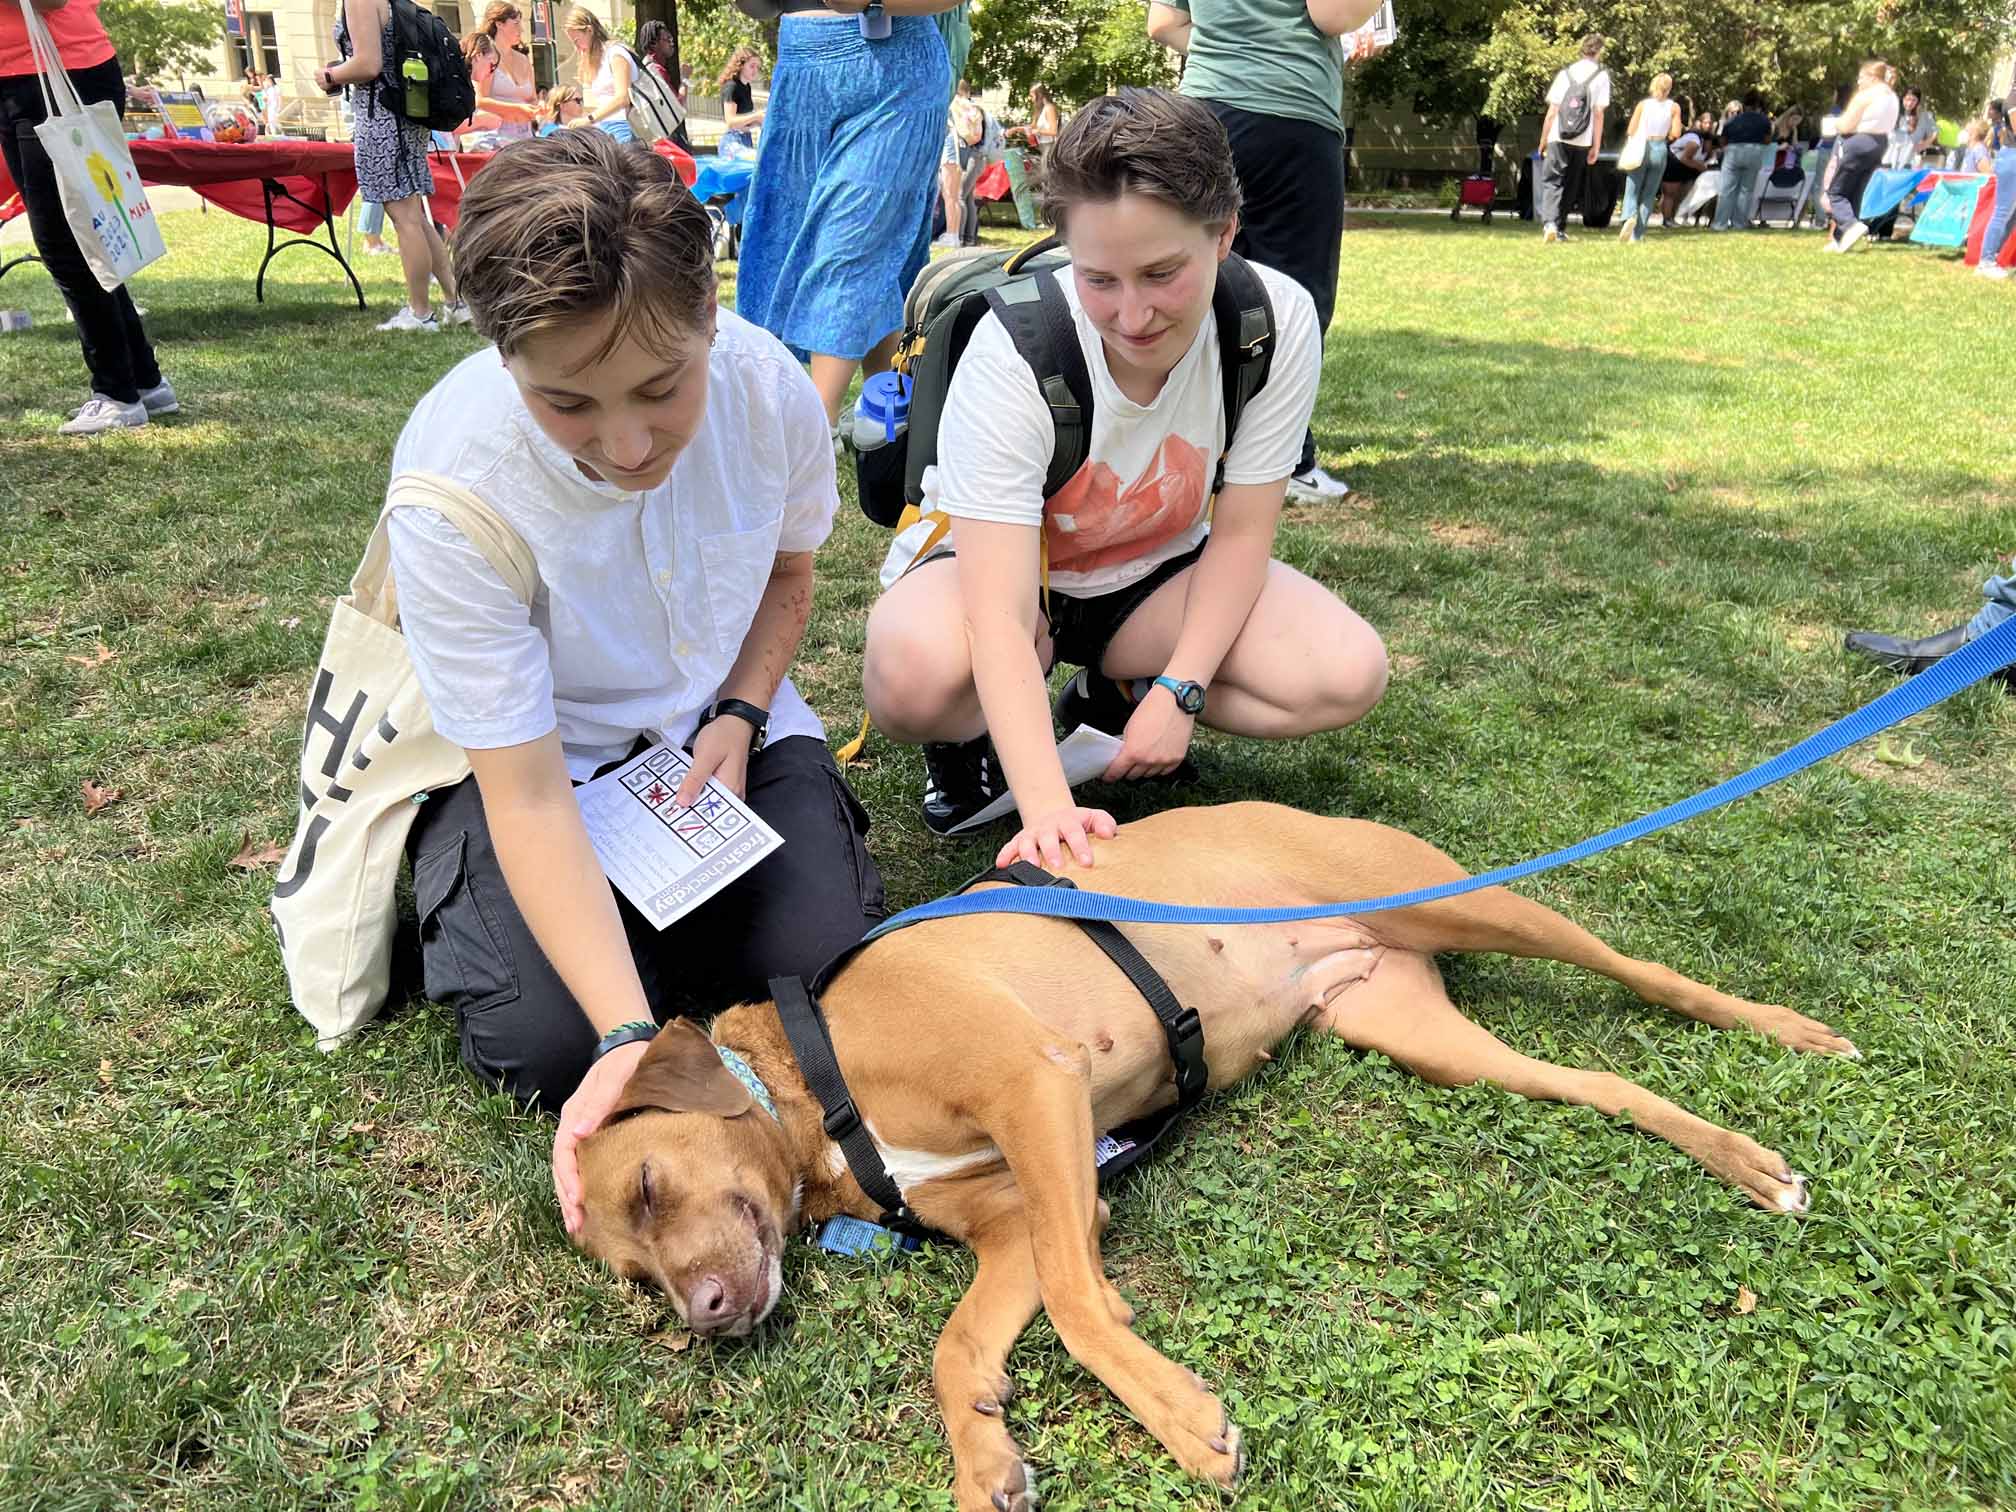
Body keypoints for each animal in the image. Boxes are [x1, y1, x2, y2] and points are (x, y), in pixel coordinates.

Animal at [568, 798, 1854, 1507]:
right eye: (635, 1277)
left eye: (651, 1183)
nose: (708, 1316)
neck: (813, 1086)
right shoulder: (1025, 1216)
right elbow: (956, 1350)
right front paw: (984, 1459)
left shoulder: (1037, 1092)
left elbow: (1082, 1309)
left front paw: (1184, 1419)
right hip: (1422, 1035)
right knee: (1603, 1085)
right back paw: (1746, 1160)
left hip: (1472, 905)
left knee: (1650, 974)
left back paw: (1791, 1033)